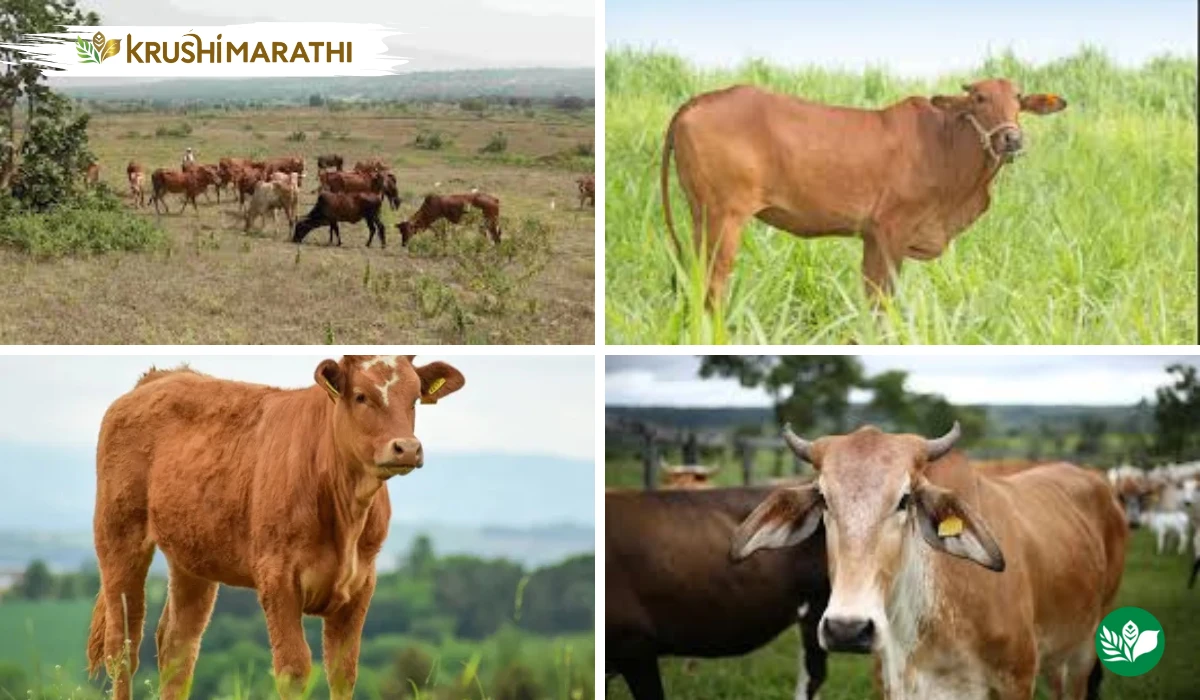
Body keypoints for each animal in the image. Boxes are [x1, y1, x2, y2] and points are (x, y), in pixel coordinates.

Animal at [85, 357, 465, 700]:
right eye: (360, 396)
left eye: (414, 398)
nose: (407, 448)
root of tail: (159, 377)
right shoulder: (277, 577)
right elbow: (294, 670)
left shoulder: (361, 584)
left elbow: (343, 672)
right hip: (119, 537)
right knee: (123, 648)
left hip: (192, 559)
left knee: (177, 647)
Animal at [661, 80, 1067, 308]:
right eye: (980, 98)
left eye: (1019, 99)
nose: (1011, 138)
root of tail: (698, 101)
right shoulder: (891, 232)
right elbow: (882, 301)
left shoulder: (873, 237)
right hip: (724, 217)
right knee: (713, 282)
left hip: (701, 217)